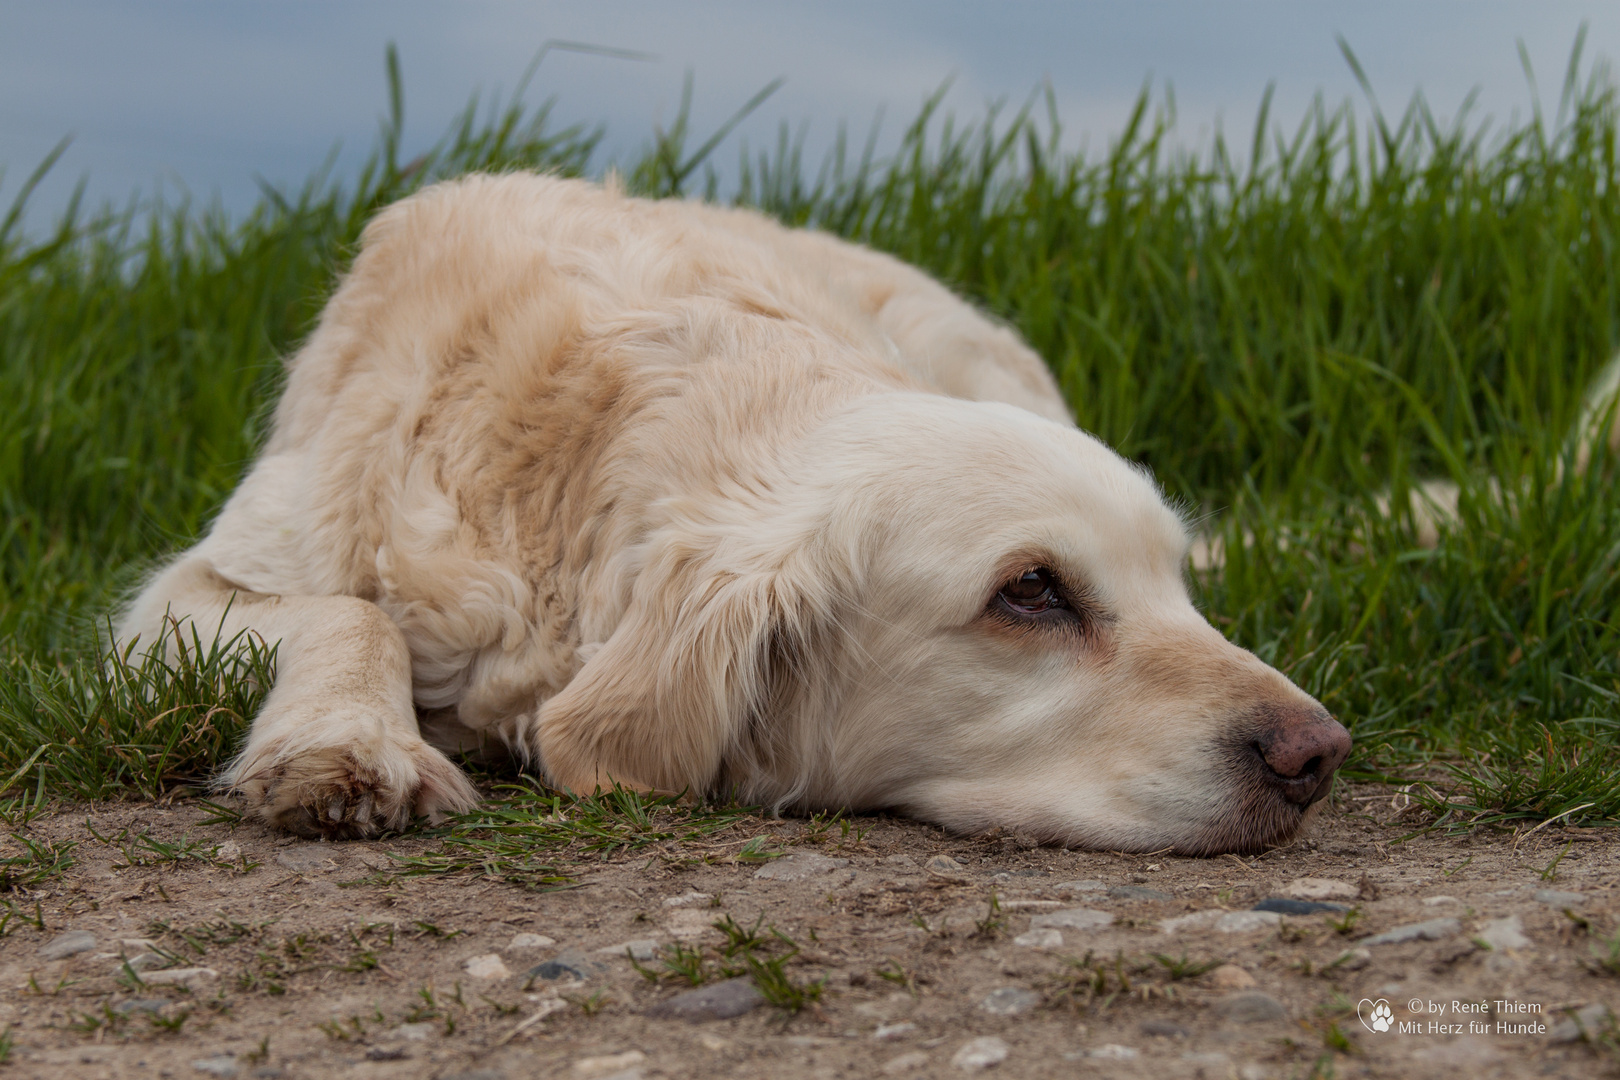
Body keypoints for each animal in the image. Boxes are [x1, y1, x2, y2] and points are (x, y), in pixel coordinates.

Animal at [117, 173, 1354, 854]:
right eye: (1031, 591)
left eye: (1174, 586)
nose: (1320, 753)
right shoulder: (179, 598)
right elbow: (349, 611)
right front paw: (347, 744)